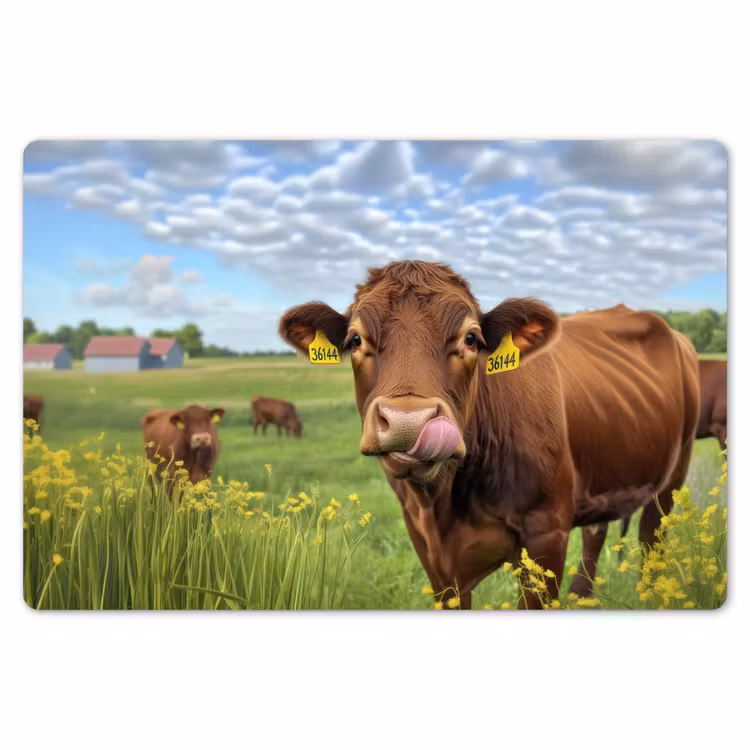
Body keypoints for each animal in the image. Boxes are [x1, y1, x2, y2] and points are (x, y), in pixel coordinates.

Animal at [279, 260, 700, 609]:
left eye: (471, 339)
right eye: (354, 340)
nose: (408, 421)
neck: (443, 503)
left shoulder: (546, 534)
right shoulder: (428, 548)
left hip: (672, 477)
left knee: (651, 537)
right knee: (597, 533)